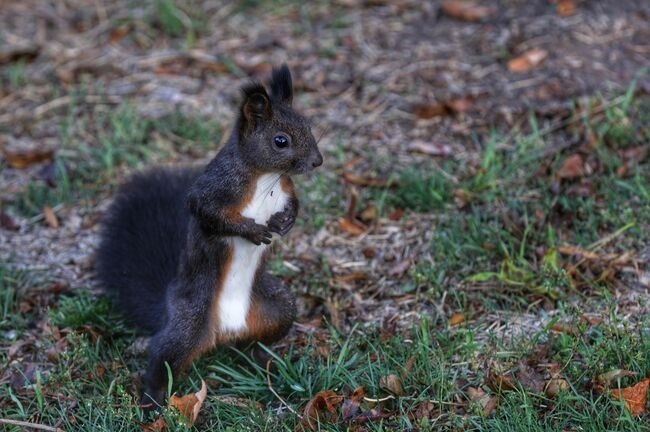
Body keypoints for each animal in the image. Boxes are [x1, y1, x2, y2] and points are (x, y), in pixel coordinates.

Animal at [93, 64, 322, 408]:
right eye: (280, 141)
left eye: (308, 125)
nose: (317, 161)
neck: (266, 177)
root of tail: (225, 331)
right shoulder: (216, 186)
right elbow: (205, 212)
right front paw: (252, 230)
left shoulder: (286, 189)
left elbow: (295, 203)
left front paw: (286, 222)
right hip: (189, 323)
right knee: (163, 355)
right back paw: (153, 399)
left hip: (279, 308)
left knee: (257, 339)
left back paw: (263, 360)